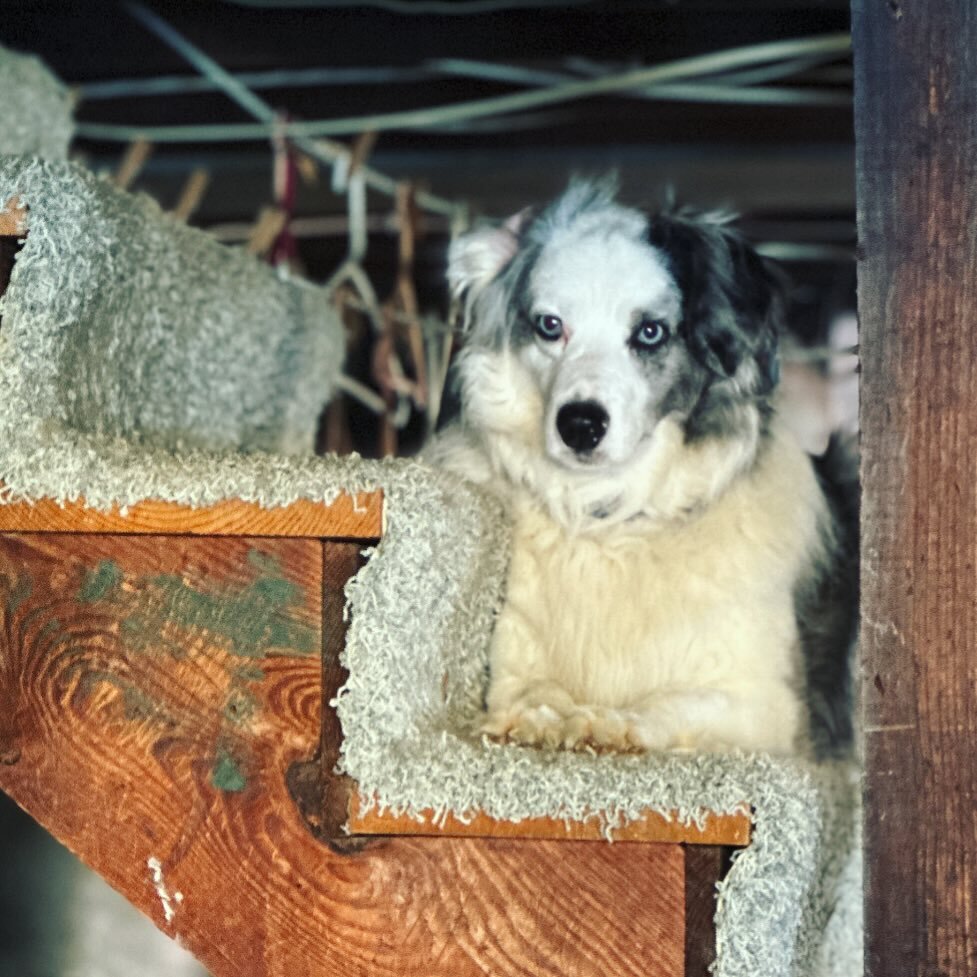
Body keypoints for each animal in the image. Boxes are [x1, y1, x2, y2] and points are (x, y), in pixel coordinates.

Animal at [428, 179, 856, 760]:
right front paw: (542, 714)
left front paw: (605, 722)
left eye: (650, 332)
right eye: (550, 326)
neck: (612, 521)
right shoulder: (510, 660)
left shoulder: (767, 708)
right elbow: (529, 691)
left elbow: (668, 704)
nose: (579, 424)